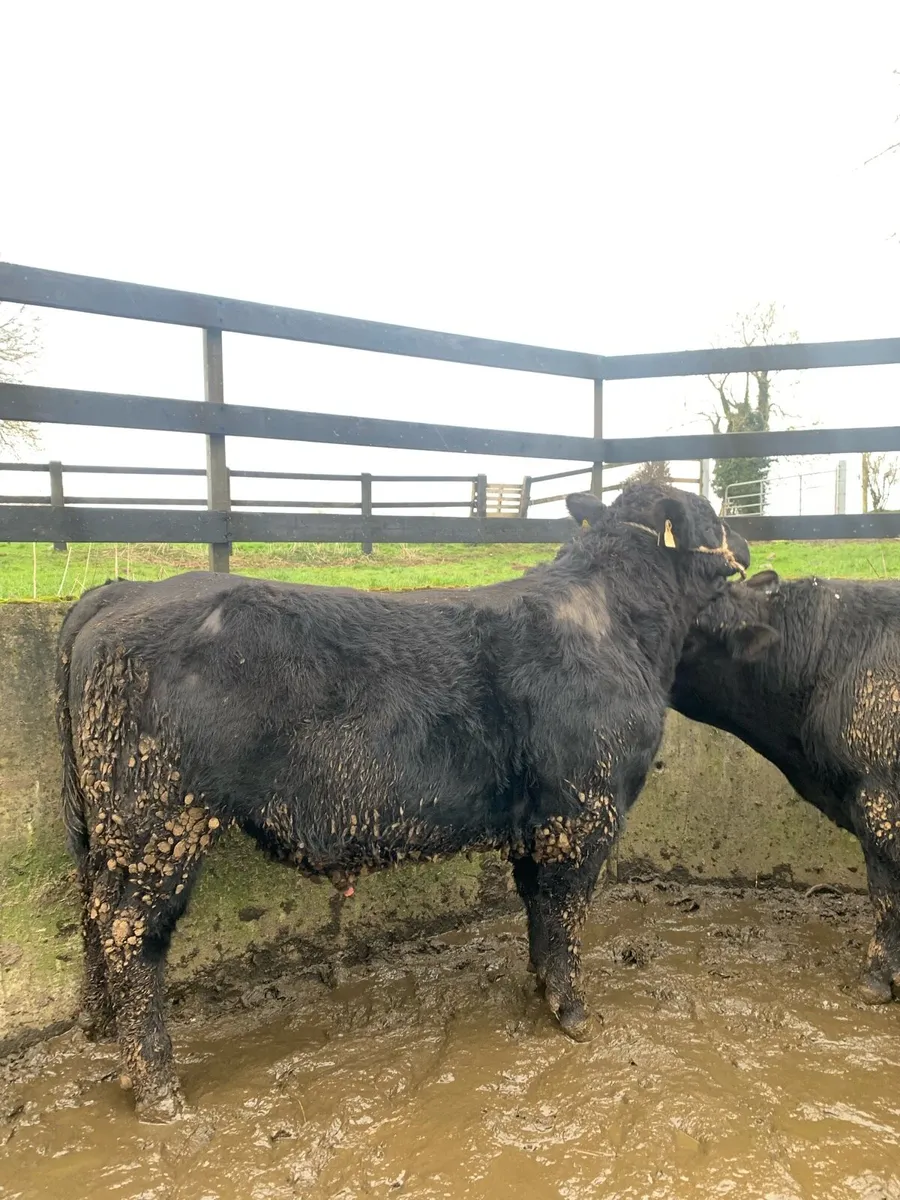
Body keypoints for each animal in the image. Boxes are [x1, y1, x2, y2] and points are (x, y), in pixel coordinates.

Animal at [56, 483, 755, 1121]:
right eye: (713, 514)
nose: (748, 543)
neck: (618, 626)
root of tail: (122, 591)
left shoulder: (537, 823)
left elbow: (537, 907)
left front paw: (539, 989)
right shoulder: (584, 813)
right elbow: (564, 914)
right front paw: (574, 1014)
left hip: (108, 831)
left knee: (93, 917)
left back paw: (105, 1041)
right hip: (162, 819)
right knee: (129, 933)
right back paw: (158, 1091)